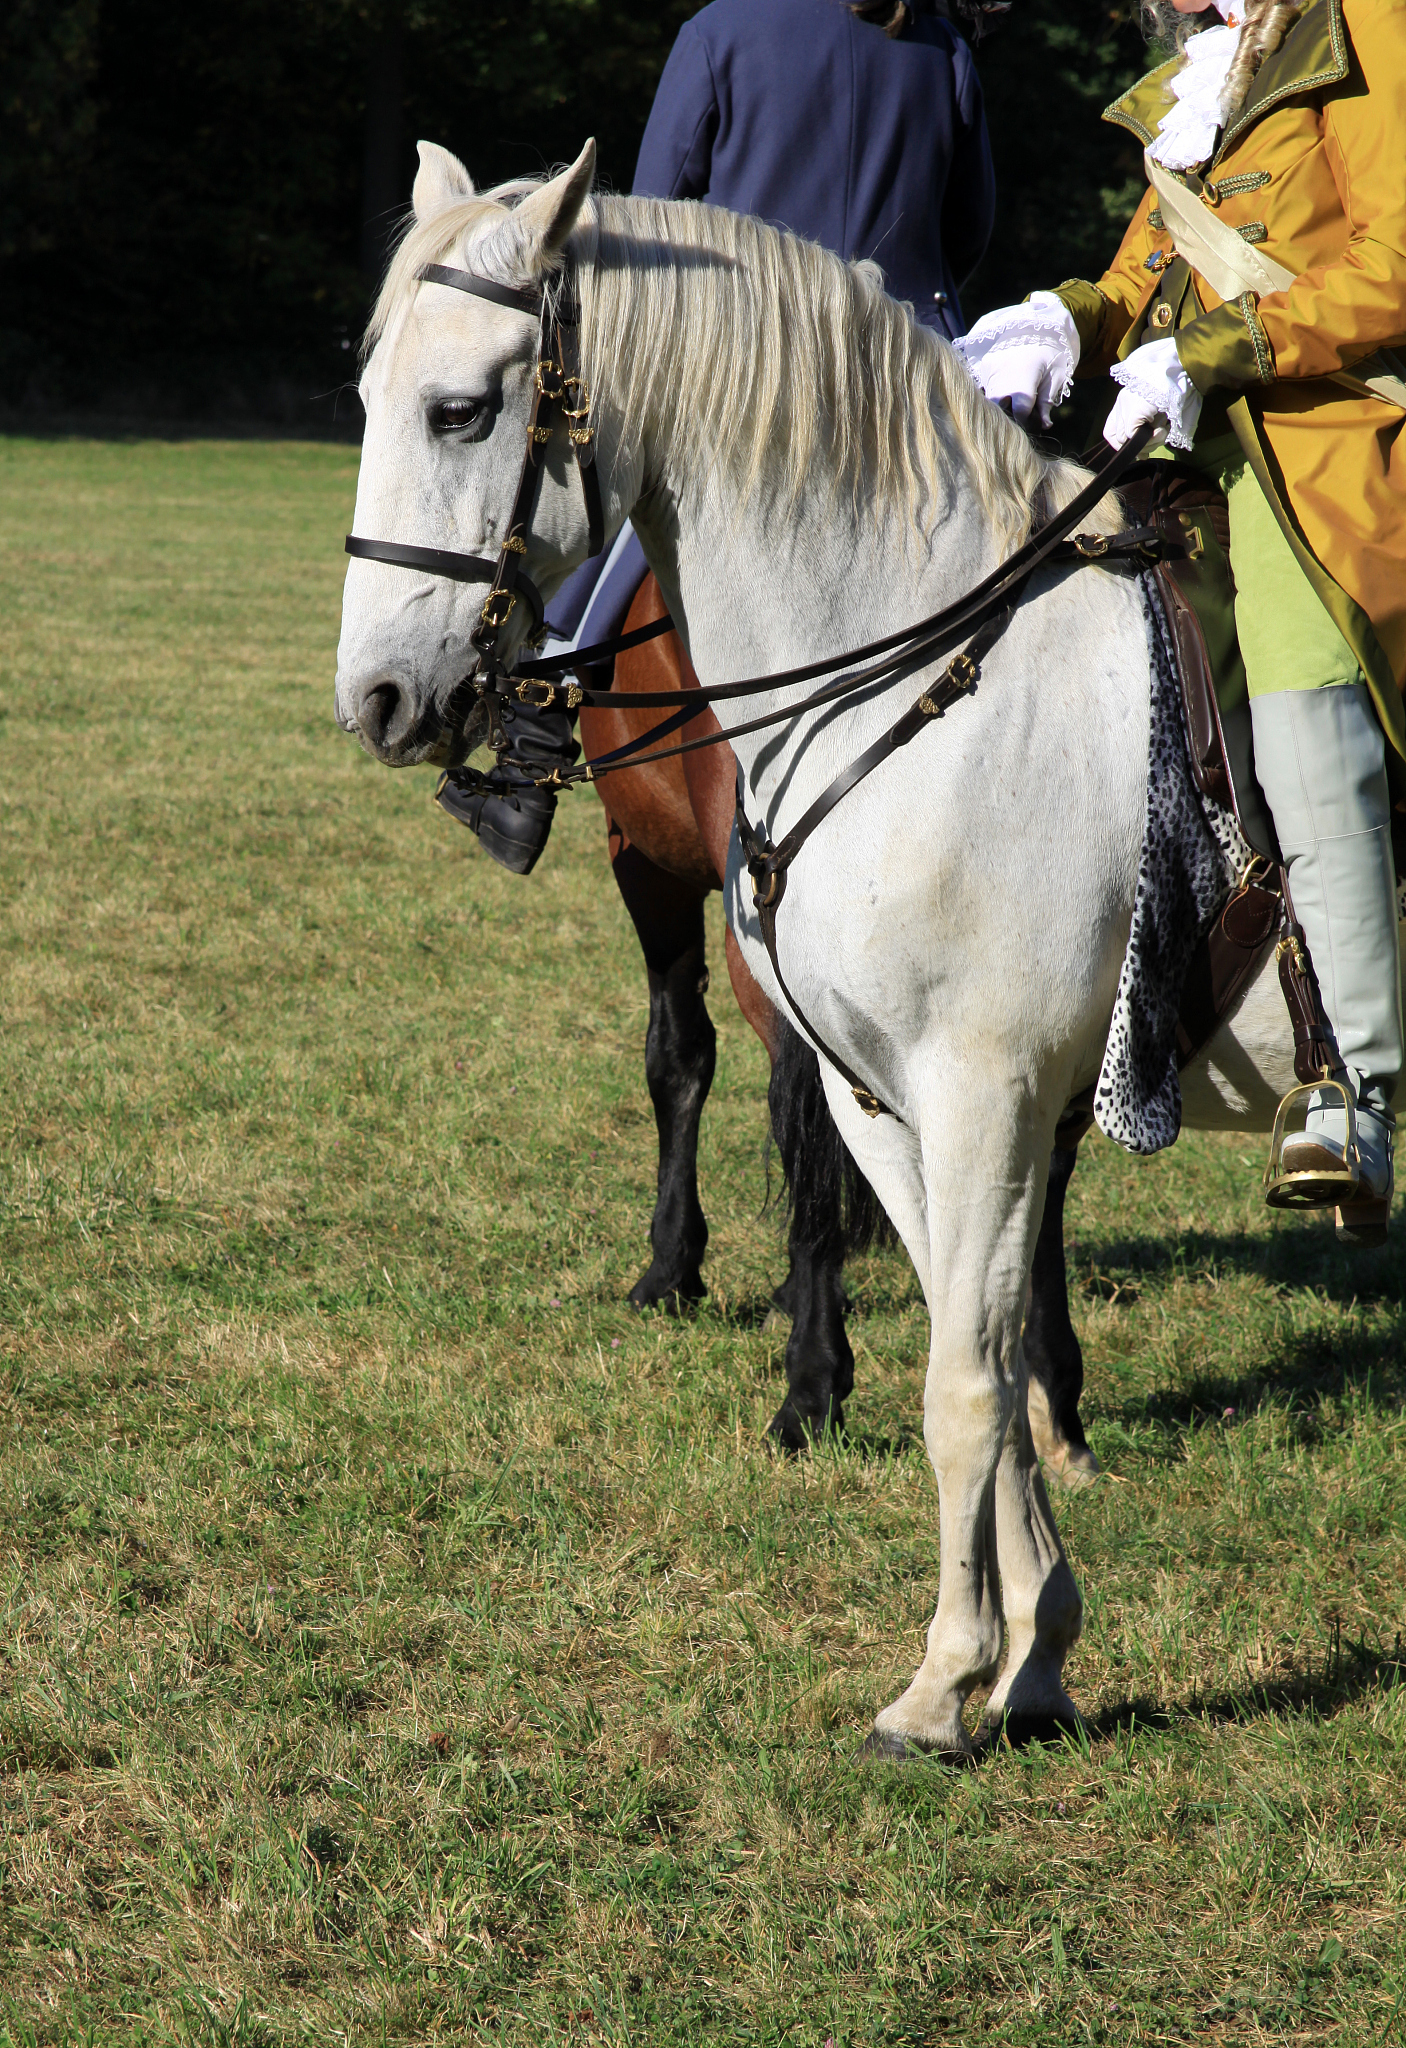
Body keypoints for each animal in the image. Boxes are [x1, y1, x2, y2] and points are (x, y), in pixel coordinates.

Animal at [334, 141, 1337, 1757]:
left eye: (461, 410)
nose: (373, 696)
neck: (918, 677)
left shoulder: (983, 1085)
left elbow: (961, 1381)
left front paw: (944, 1680)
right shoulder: (892, 1093)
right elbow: (978, 1336)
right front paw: (1030, 1655)